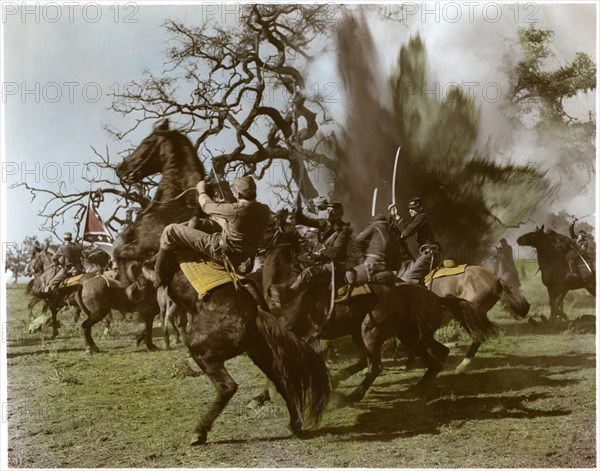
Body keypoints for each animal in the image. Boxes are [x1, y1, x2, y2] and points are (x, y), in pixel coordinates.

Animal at [262, 224, 496, 402]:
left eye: (267, 227)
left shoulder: (293, 331)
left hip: (371, 331)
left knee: (376, 366)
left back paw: (353, 396)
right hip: (404, 335)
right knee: (435, 356)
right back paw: (415, 387)